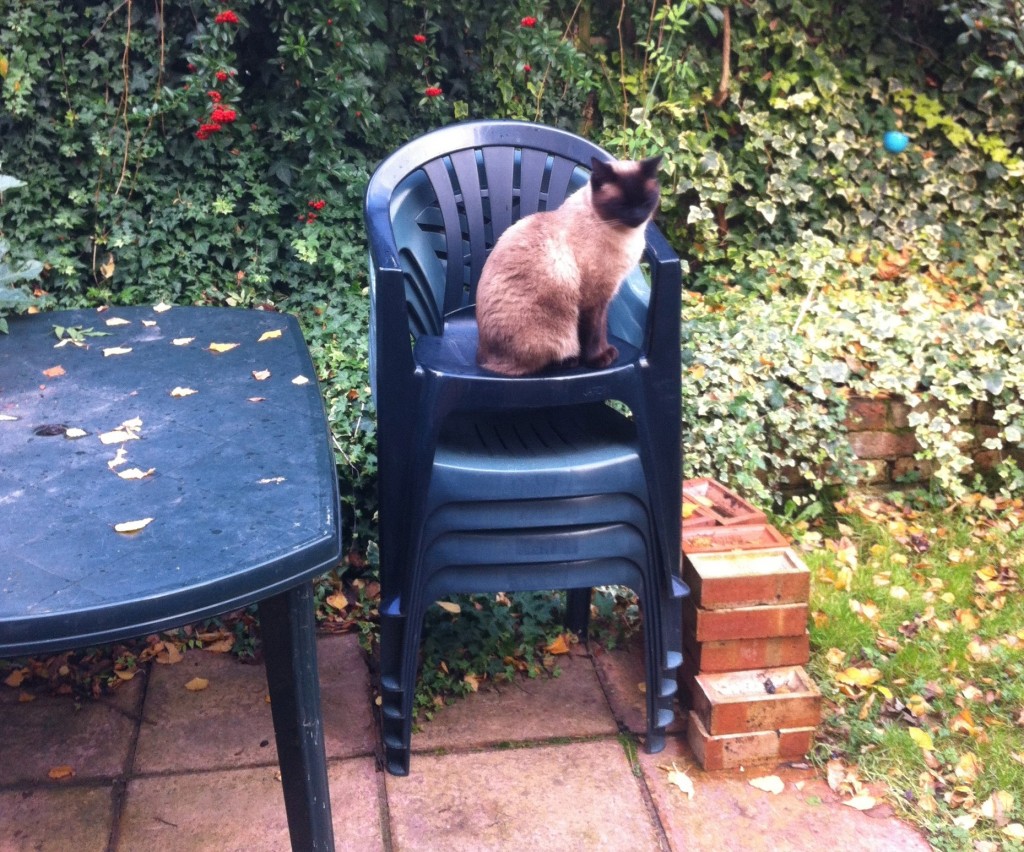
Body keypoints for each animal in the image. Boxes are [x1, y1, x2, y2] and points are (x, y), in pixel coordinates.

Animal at [473, 153, 663, 378]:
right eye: (623, 205)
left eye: (645, 202)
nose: (638, 217)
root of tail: (481, 357)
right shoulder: (594, 298)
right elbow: (593, 333)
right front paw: (598, 359)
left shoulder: (604, 298)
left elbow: (601, 330)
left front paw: (605, 352)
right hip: (555, 330)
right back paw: (570, 360)